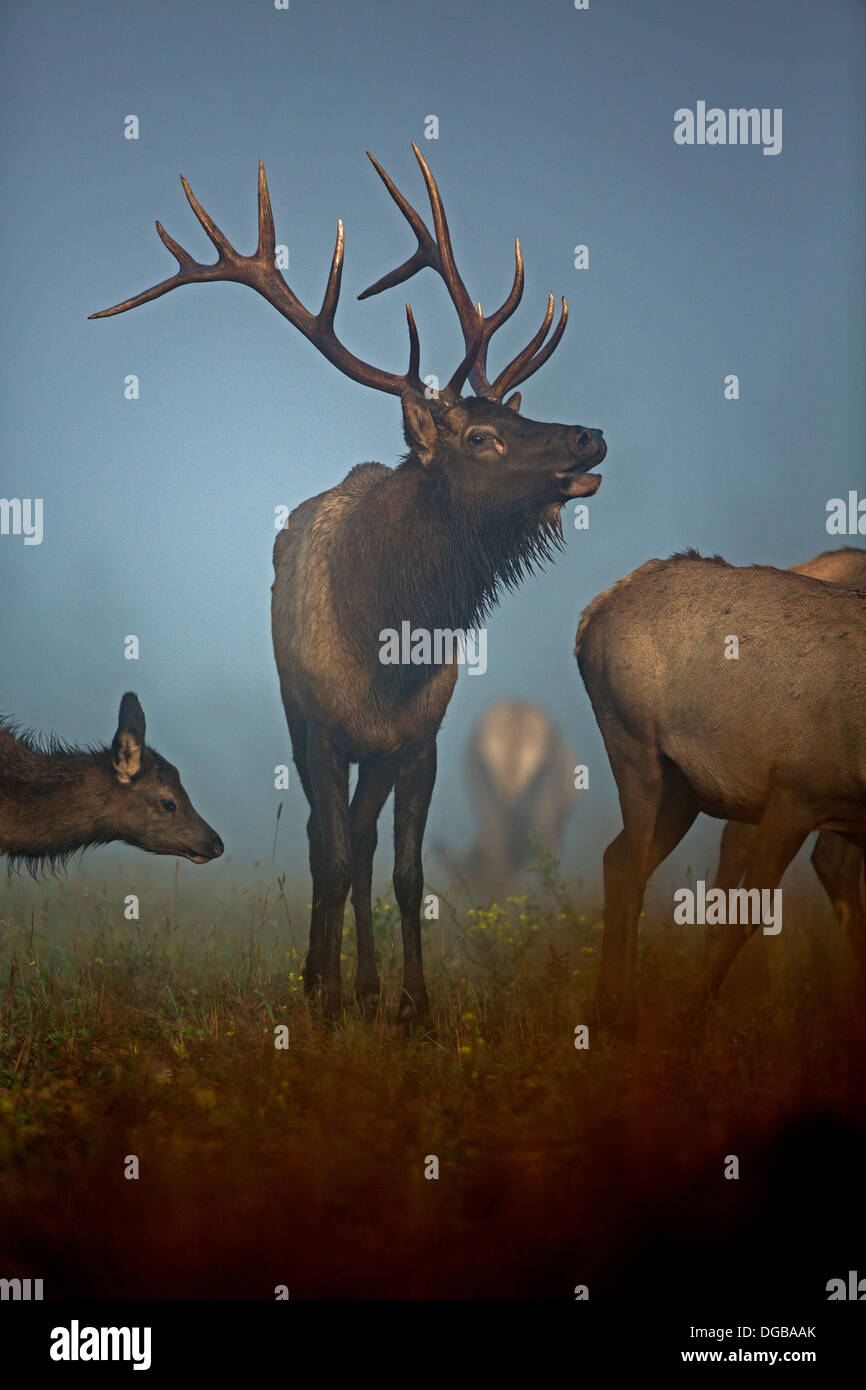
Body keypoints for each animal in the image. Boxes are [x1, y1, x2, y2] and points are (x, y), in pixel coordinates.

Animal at [93, 146, 608, 1028]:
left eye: (520, 412)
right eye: (482, 436)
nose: (590, 436)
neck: (388, 647)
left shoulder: (420, 739)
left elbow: (405, 870)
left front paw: (413, 1009)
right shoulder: (326, 730)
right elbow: (329, 857)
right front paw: (323, 1001)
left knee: (363, 843)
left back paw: (366, 987)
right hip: (298, 720)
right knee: (321, 838)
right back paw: (325, 981)